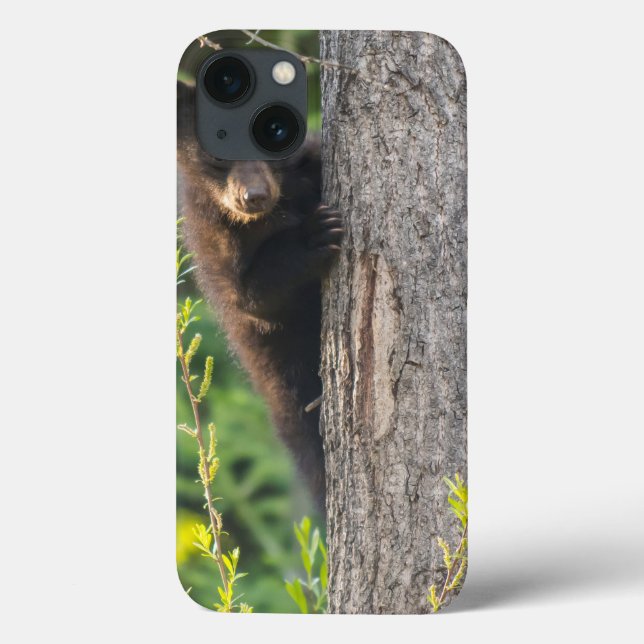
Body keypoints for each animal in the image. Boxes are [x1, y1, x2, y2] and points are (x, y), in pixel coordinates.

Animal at [177, 82, 343, 507]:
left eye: (276, 134)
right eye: (217, 151)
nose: (254, 196)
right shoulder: (212, 237)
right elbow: (253, 297)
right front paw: (315, 235)